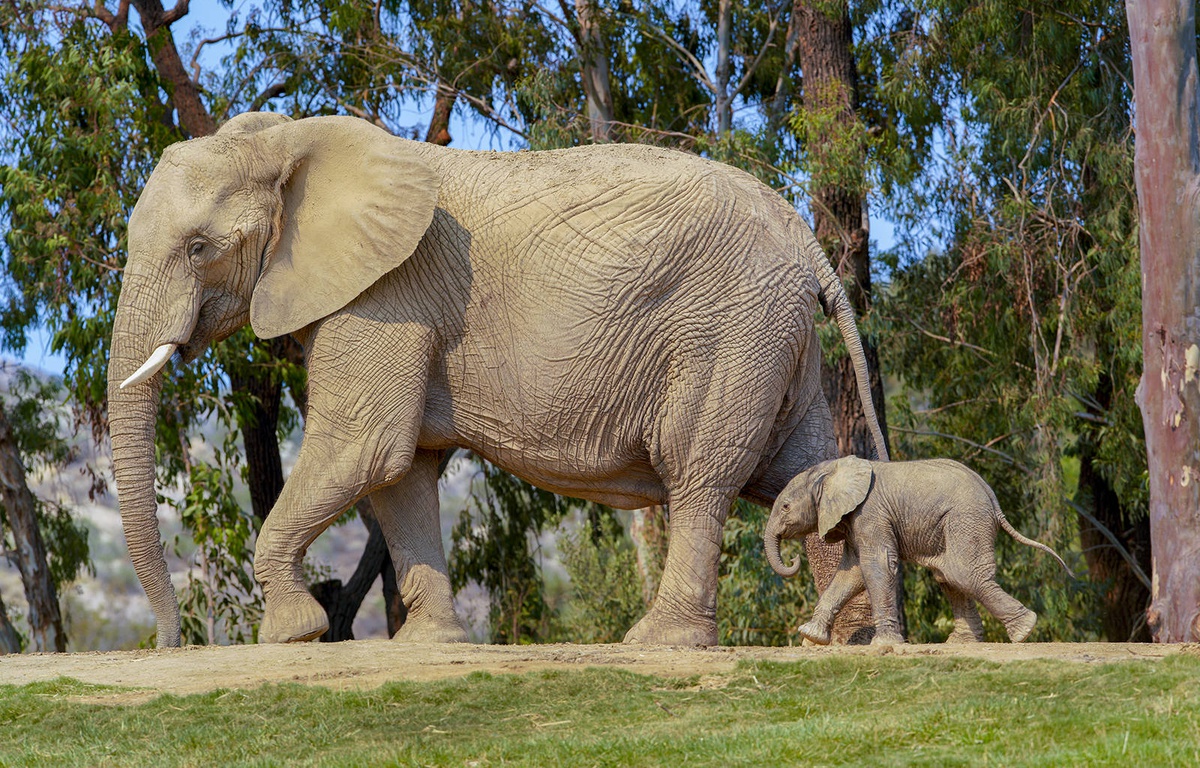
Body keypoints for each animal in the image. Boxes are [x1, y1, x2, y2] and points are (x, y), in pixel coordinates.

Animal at [108, 109, 888, 648]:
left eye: (199, 248)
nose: (171, 641)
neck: (289, 141)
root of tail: (806, 241)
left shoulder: (386, 295)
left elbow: (364, 448)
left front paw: (292, 635)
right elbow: (401, 473)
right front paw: (426, 647)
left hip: (728, 332)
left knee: (699, 471)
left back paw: (660, 643)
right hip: (775, 340)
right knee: (803, 475)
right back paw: (842, 645)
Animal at [763, 458, 1075, 643]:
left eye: (785, 507)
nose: (793, 558)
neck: (832, 469)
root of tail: (993, 498)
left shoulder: (870, 513)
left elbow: (876, 565)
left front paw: (884, 644)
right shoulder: (855, 520)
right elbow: (851, 573)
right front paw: (811, 636)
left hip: (966, 517)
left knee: (962, 573)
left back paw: (1024, 631)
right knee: (947, 574)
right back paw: (962, 642)